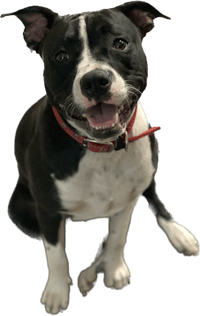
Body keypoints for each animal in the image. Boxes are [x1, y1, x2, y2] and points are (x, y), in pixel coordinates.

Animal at [0, 1, 199, 314]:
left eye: (120, 43)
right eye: (61, 56)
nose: (95, 81)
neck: (100, 150)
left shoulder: (125, 202)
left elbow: (117, 238)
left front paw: (114, 269)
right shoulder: (48, 212)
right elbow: (56, 255)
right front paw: (57, 291)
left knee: (152, 198)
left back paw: (178, 235)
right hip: (19, 208)